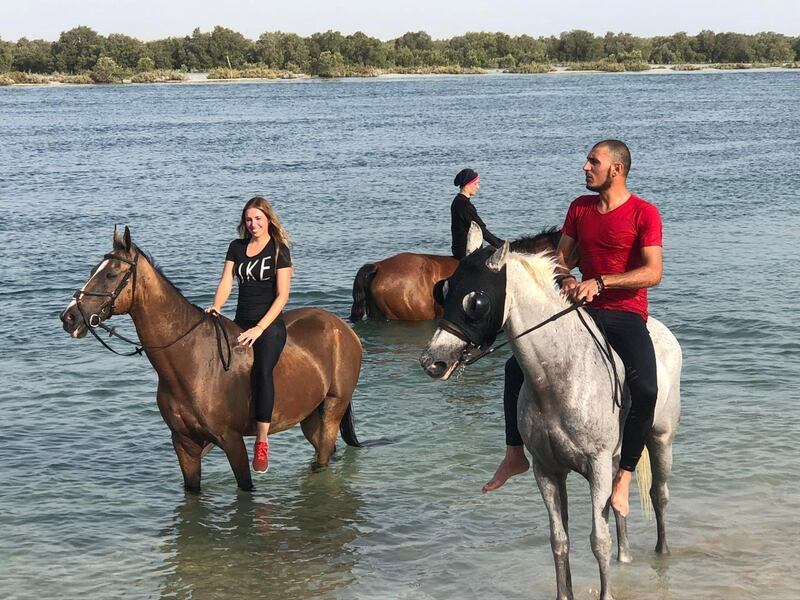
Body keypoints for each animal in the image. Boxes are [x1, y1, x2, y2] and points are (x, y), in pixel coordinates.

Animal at [61, 225, 364, 492]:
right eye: (93, 271)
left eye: (111, 274)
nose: (69, 317)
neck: (191, 361)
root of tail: (342, 328)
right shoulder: (184, 445)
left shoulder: (232, 442)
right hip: (310, 415)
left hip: (332, 409)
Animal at [418, 225, 680, 600]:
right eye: (444, 291)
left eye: (476, 301)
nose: (433, 361)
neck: (560, 376)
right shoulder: (547, 470)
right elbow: (559, 540)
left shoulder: (597, 467)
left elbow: (598, 541)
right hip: (617, 458)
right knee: (620, 505)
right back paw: (626, 556)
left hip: (661, 439)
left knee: (659, 494)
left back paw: (663, 553)